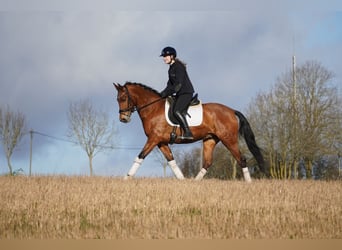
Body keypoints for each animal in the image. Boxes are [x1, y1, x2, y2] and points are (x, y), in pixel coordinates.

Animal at [113, 82, 264, 182]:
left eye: (123, 98)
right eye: (117, 99)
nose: (123, 119)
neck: (153, 108)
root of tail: (232, 111)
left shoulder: (153, 139)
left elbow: (140, 156)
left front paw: (126, 178)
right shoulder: (161, 142)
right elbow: (171, 160)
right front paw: (182, 180)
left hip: (229, 139)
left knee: (241, 159)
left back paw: (248, 183)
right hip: (210, 140)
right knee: (208, 162)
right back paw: (195, 182)